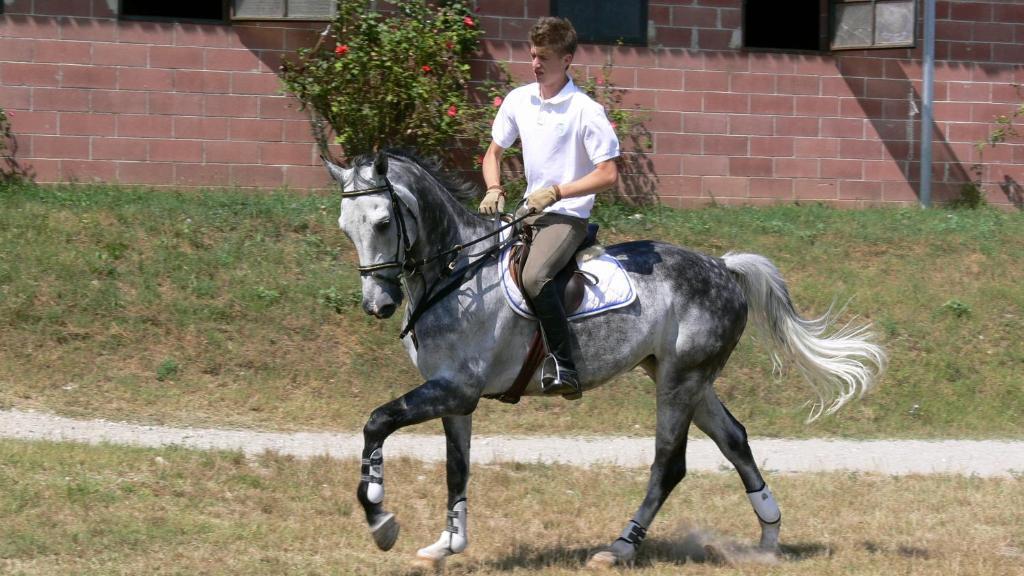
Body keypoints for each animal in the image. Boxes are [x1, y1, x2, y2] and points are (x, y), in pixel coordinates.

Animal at [327, 150, 888, 565]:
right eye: (345, 227)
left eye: (383, 222)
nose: (377, 305)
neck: (456, 273)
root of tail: (724, 268)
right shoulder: (454, 396)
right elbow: (456, 469)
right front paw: (448, 544)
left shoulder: (456, 389)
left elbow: (377, 422)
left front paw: (380, 519)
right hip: (685, 377)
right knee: (735, 440)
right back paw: (768, 540)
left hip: (680, 382)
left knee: (669, 464)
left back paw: (621, 546)